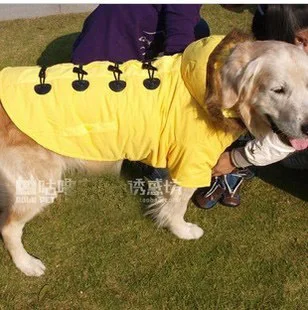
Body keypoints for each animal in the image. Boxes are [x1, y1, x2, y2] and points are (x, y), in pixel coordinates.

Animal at [1, 32, 308, 276]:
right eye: (278, 89)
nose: (307, 127)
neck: (212, 86)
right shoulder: (189, 163)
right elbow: (178, 205)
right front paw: (182, 230)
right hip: (39, 184)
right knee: (9, 228)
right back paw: (27, 265)